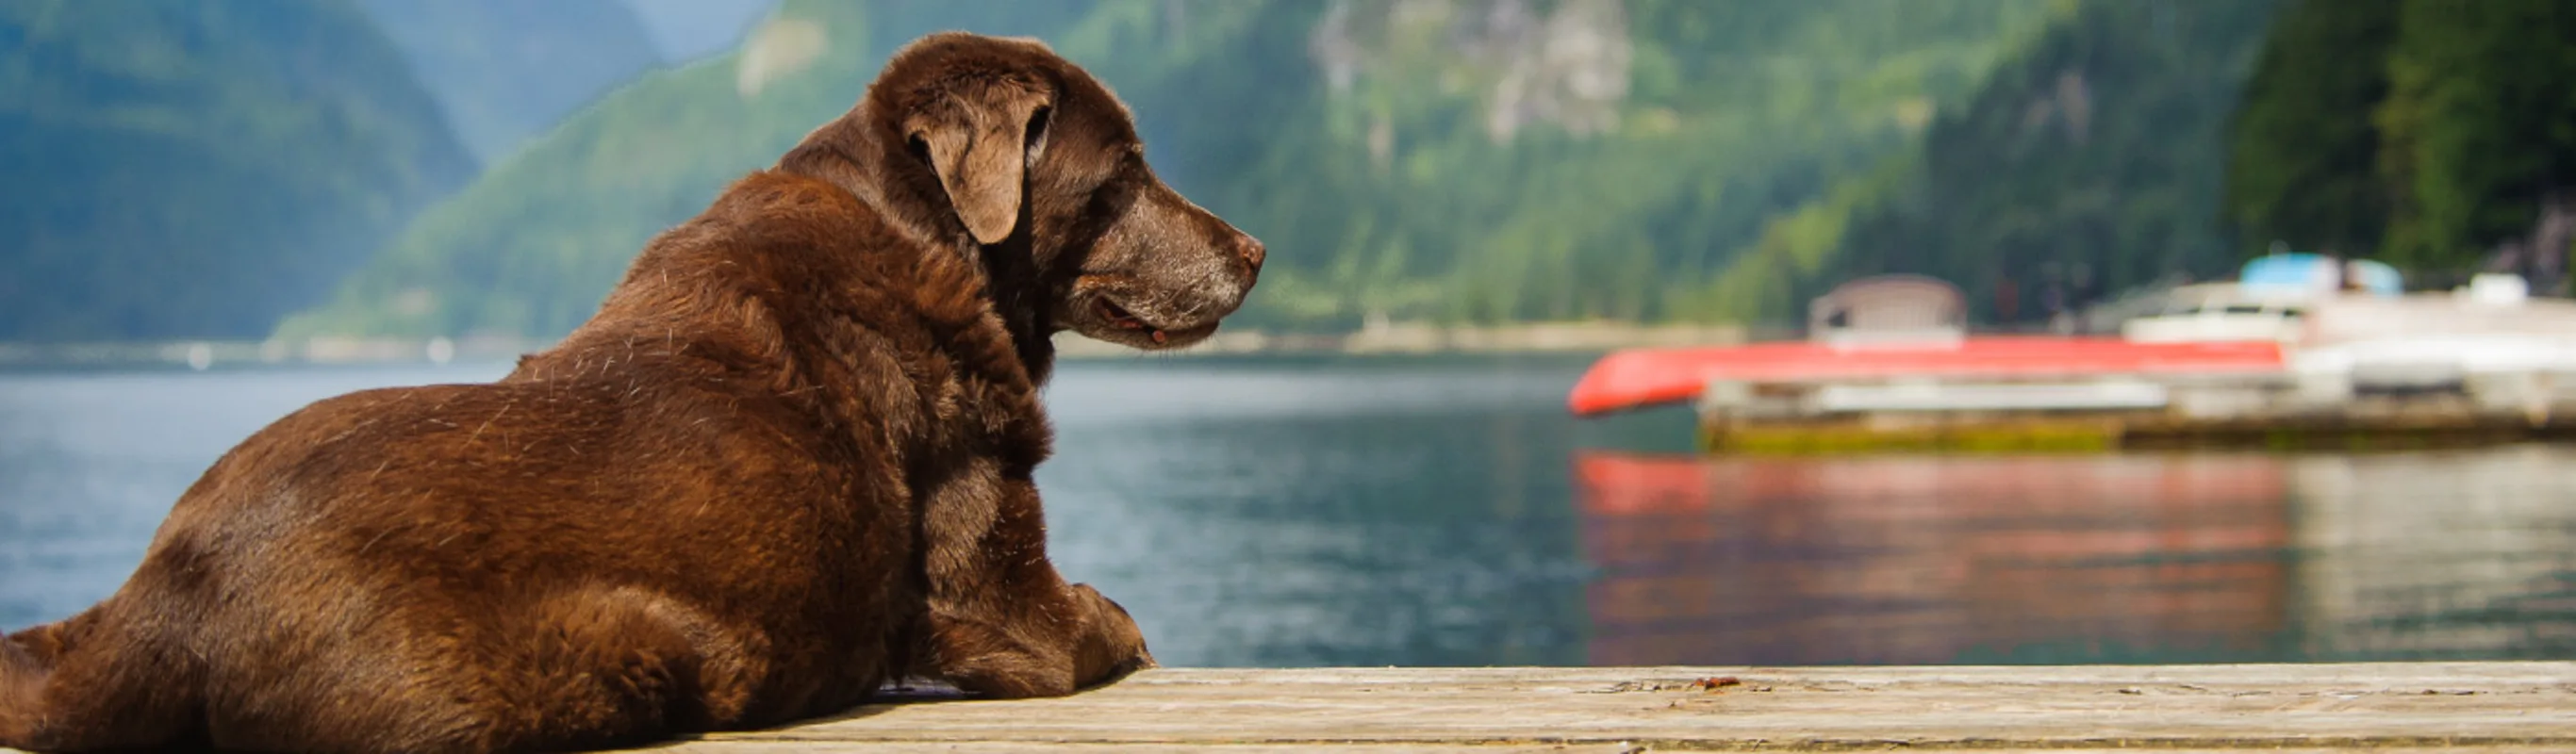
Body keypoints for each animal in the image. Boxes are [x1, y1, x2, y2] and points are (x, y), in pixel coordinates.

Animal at [0, 30, 1257, 751]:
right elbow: (1110, 622)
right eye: (1125, 171)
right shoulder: (1011, 608)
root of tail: (169, 592)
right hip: (608, 653)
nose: (1251, 251)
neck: (920, 230)